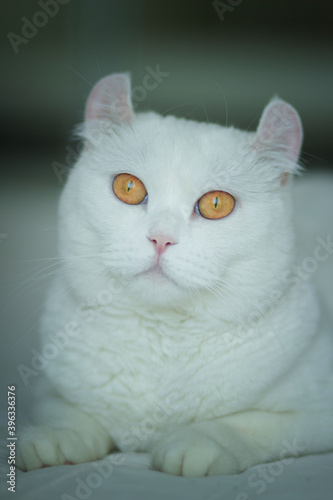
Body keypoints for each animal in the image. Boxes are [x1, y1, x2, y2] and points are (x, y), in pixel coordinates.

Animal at [17, 72, 332, 474]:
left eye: (217, 204)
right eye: (128, 187)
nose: (161, 238)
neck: (162, 340)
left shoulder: (315, 415)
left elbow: (250, 423)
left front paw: (197, 443)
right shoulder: (46, 389)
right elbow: (68, 411)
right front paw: (54, 439)